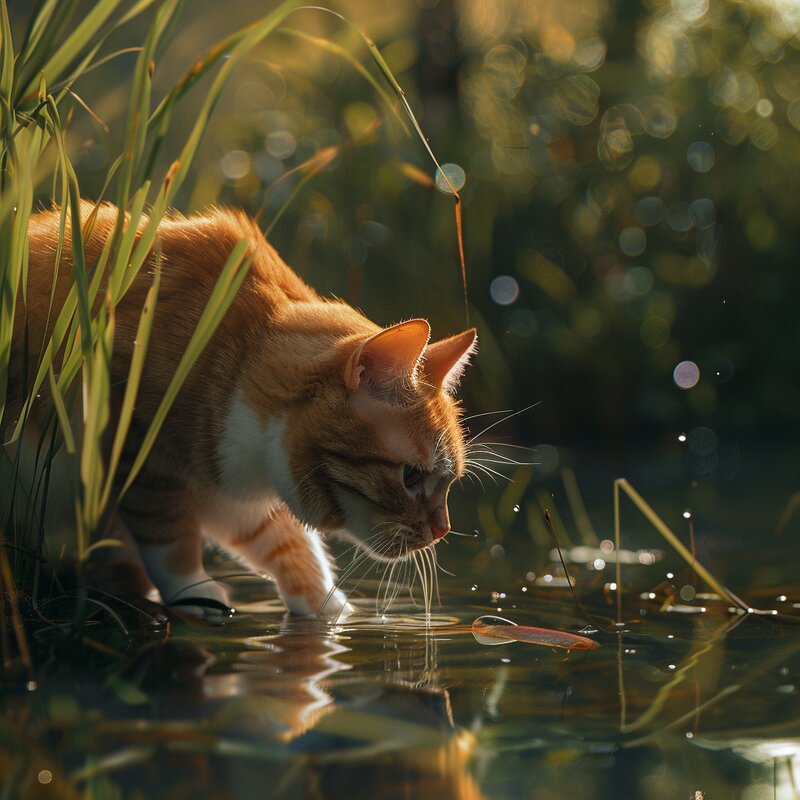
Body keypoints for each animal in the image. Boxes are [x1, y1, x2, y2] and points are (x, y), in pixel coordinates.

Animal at [6, 202, 476, 620]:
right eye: (410, 477)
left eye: (450, 482)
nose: (442, 532)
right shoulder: (138, 450)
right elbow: (167, 533)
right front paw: (195, 590)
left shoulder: (234, 487)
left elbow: (290, 545)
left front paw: (328, 610)